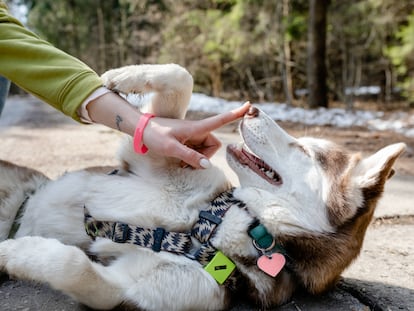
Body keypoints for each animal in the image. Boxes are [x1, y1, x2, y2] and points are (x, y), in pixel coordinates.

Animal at [0, 64, 408, 311]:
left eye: (305, 150)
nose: (251, 109)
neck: (217, 225)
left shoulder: (125, 289)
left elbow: (70, 264)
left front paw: (13, 251)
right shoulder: (151, 158)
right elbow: (180, 79)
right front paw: (125, 76)